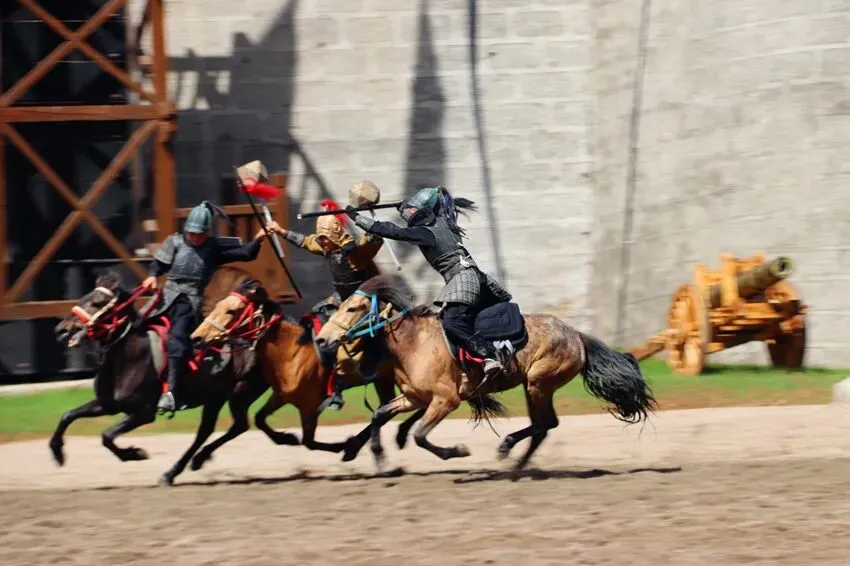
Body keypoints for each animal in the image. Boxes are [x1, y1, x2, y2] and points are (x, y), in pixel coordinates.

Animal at [51, 271, 271, 486]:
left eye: (97, 302)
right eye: (84, 296)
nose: (61, 329)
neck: (128, 358)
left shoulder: (144, 412)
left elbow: (107, 435)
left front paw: (135, 454)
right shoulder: (106, 405)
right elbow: (67, 415)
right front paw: (57, 452)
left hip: (238, 393)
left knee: (217, 429)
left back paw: (177, 469)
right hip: (219, 397)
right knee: (227, 428)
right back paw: (191, 463)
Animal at [189, 278, 425, 467]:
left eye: (232, 311)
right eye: (218, 305)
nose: (197, 338)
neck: (292, 352)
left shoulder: (309, 407)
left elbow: (308, 441)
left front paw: (342, 445)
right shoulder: (282, 396)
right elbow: (260, 419)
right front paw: (287, 438)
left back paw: (365, 444)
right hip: (385, 378)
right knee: (392, 407)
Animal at [313, 275, 658, 470]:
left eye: (353, 309)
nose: (321, 340)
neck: (416, 343)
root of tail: (577, 336)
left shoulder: (445, 401)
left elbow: (420, 435)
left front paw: (456, 451)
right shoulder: (414, 398)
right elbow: (380, 415)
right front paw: (379, 457)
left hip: (538, 384)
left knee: (546, 423)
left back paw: (508, 449)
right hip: (534, 387)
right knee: (544, 426)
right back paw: (519, 463)